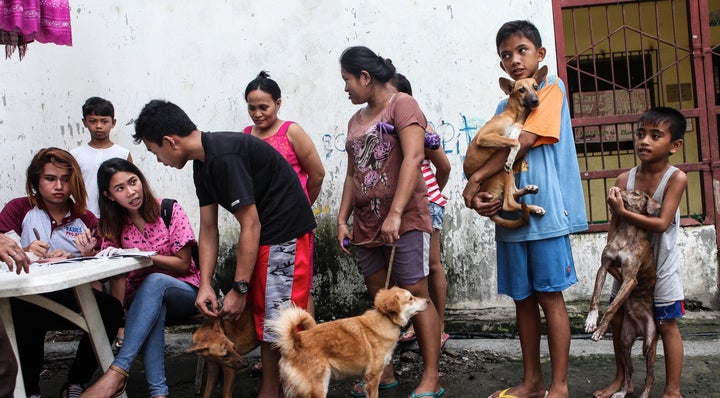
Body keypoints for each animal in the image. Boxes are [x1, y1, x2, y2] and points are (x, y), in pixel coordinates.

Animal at [268, 286, 428, 398]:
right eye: (410, 298)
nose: (427, 300)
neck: (386, 319)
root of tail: (295, 341)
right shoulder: (373, 377)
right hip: (318, 387)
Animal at [464, 64, 548, 227]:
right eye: (521, 90)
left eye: (535, 87)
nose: (536, 101)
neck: (515, 114)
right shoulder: (484, 137)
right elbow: (516, 142)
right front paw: (510, 158)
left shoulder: (518, 125)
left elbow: (516, 134)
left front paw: (512, 145)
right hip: (502, 173)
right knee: (508, 203)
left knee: (513, 194)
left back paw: (531, 196)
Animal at [584, 189, 660, 398]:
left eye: (635, 193)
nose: (615, 189)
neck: (627, 232)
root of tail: (640, 329)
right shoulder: (604, 266)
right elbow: (595, 296)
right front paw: (591, 321)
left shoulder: (630, 279)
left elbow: (612, 307)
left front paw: (600, 331)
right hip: (624, 341)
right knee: (629, 369)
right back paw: (622, 392)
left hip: (649, 342)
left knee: (650, 376)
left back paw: (644, 394)